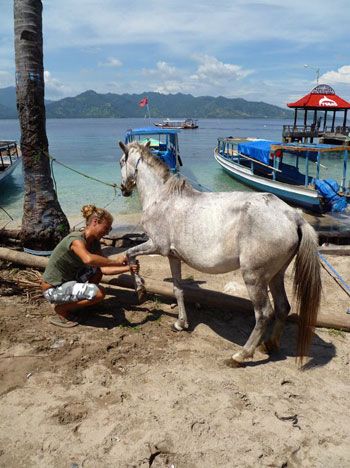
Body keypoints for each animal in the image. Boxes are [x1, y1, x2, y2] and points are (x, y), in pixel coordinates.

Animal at [119, 141, 322, 368]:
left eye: (121, 161)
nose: (123, 188)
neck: (162, 198)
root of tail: (294, 216)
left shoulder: (156, 246)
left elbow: (129, 254)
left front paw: (140, 290)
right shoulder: (173, 256)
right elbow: (178, 289)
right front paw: (180, 323)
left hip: (254, 277)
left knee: (264, 313)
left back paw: (240, 355)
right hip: (275, 276)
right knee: (282, 307)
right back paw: (269, 345)